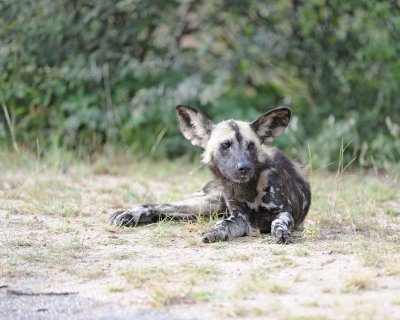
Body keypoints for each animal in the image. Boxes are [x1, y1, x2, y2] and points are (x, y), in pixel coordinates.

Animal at [110, 105, 312, 242]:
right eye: (225, 145)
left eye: (251, 146)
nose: (245, 167)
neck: (247, 189)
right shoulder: (239, 219)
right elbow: (222, 224)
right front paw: (213, 232)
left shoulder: (284, 212)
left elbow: (279, 222)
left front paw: (281, 232)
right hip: (210, 204)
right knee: (159, 205)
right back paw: (130, 214)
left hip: (204, 210)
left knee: (168, 212)